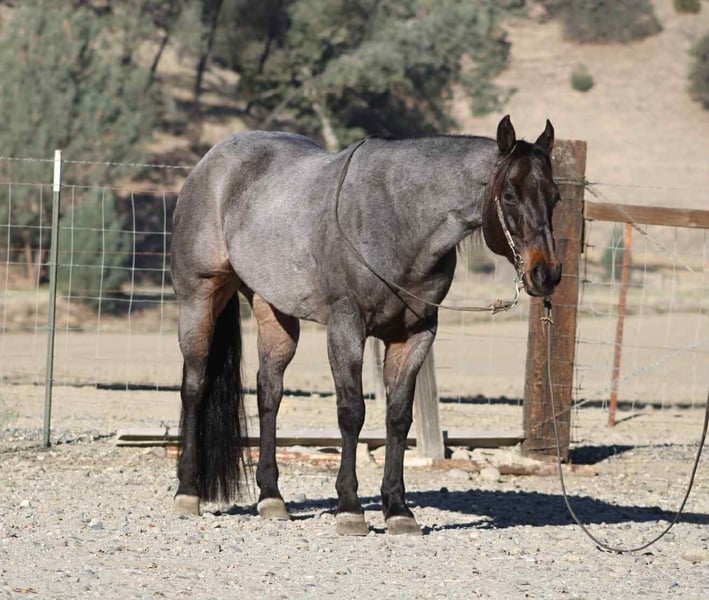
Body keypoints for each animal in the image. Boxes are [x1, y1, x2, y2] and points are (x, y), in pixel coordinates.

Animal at [170, 115, 562, 535]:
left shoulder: (416, 334)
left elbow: (398, 417)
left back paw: (271, 497)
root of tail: (210, 162)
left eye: (554, 196)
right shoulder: (346, 327)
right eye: (509, 194)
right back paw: (188, 492)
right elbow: (352, 412)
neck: (398, 218)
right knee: (194, 386)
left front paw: (398, 509)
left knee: (268, 392)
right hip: (199, 298)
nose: (546, 273)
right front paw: (350, 508)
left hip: (273, 311)